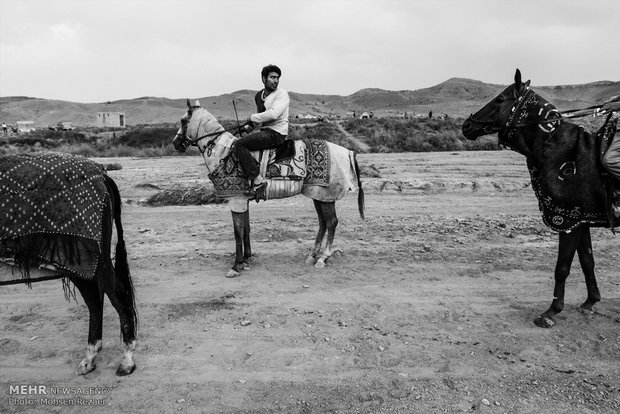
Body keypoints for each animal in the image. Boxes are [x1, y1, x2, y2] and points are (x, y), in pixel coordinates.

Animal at [0, 152, 138, 376]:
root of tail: (102, 175)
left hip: (88, 258)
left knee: (114, 297)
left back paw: (126, 360)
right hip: (83, 265)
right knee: (96, 300)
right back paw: (90, 358)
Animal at [462, 69, 616, 328]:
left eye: (500, 99)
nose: (467, 125)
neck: (561, 151)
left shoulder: (567, 220)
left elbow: (562, 267)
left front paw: (551, 312)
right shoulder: (581, 221)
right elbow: (587, 261)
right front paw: (590, 302)